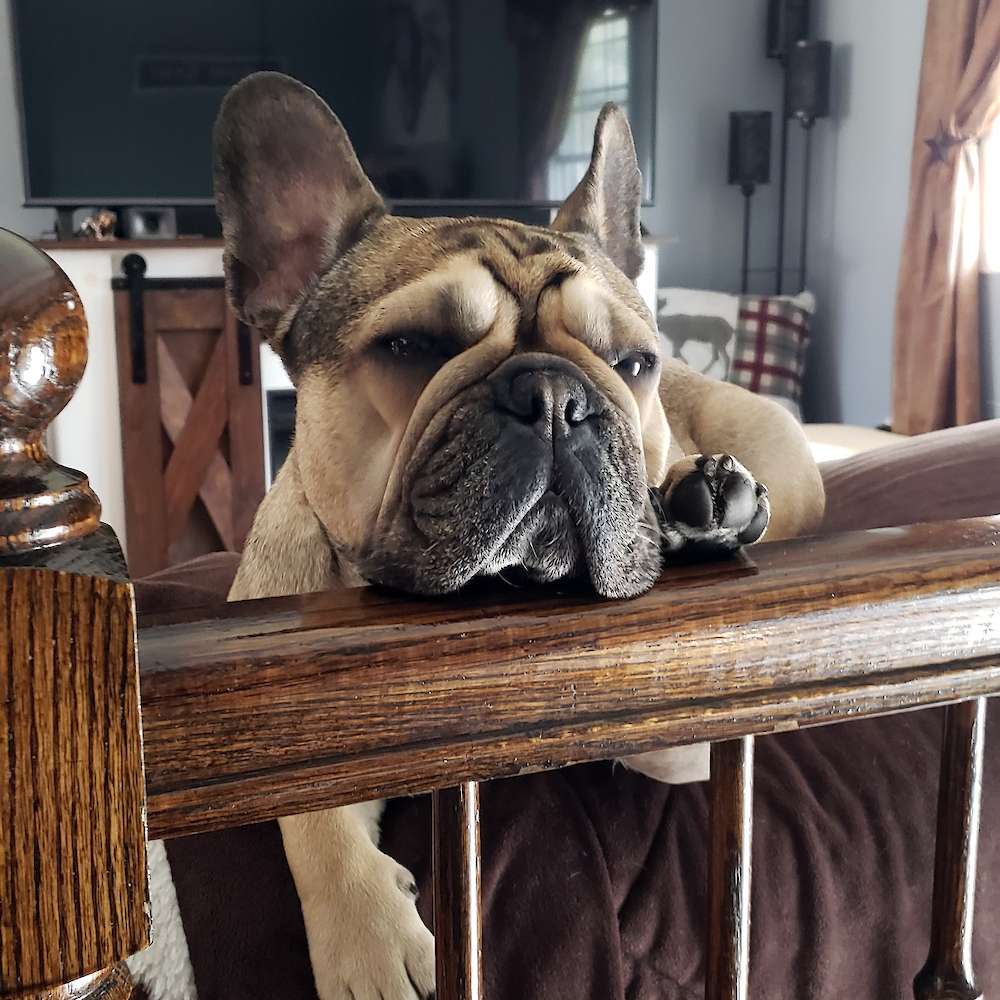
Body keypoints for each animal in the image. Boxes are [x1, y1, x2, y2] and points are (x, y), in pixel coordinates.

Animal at [140, 72, 823, 1000]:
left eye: (633, 363)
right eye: (411, 346)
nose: (556, 397)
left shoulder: (688, 739)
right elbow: (309, 815)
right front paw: (368, 938)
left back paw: (708, 505)